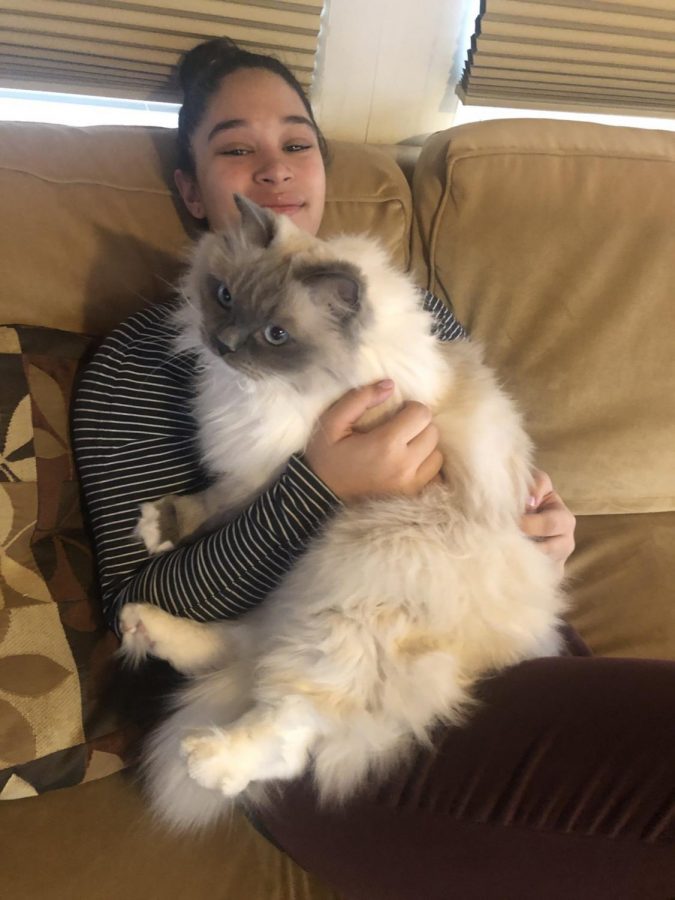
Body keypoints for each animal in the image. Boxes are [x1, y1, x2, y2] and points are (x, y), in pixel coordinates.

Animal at [119, 195, 568, 828]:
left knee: (293, 725)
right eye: (224, 295)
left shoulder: (270, 466)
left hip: (355, 592)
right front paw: (159, 525)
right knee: (243, 645)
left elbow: (223, 508)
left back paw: (208, 759)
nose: (224, 344)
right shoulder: (254, 465)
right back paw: (144, 627)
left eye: (276, 334)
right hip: (309, 594)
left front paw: (167, 524)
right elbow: (206, 507)